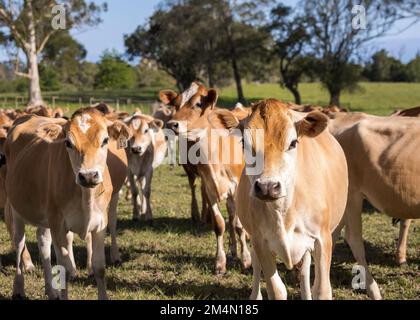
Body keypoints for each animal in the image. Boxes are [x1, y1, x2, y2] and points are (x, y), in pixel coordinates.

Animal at [4, 109, 129, 300]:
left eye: (105, 140)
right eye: (68, 143)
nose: (88, 176)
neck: (86, 198)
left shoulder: (100, 224)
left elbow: (99, 268)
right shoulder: (59, 224)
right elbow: (65, 269)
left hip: (45, 217)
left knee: (43, 243)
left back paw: (51, 290)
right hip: (16, 207)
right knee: (18, 243)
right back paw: (18, 288)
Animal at [208, 99, 350, 298]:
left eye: (293, 143)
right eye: (244, 143)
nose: (267, 186)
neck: (283, 211)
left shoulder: (322, 239)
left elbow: (321, 289)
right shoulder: (261, 242)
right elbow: (276, 290)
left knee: (304, 270)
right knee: (256, 264)